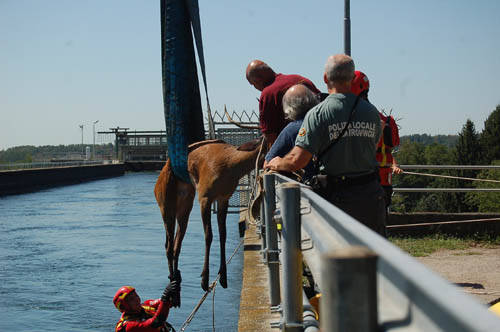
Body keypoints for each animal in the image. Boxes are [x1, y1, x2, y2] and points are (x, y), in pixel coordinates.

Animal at [154, 136, 268, 294]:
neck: (232, 165)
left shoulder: (223, 198)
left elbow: (223, 234)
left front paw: (223, 277)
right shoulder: (205, 197)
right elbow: (209, 235)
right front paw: (204, 279)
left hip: (185, 205)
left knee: (177, 243)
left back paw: (176, 280)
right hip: (166, 204)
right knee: (169, 245)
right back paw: (172, 282)